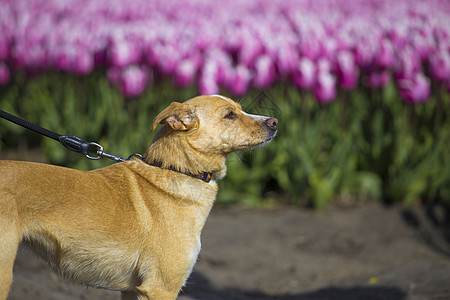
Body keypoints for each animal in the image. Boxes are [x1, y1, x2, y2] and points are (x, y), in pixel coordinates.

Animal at [0, 95, 278, 298]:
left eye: (240, 109)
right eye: (229, 115)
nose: (275, 121)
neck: (177, 169)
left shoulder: (132, 289)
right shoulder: (160, 288)